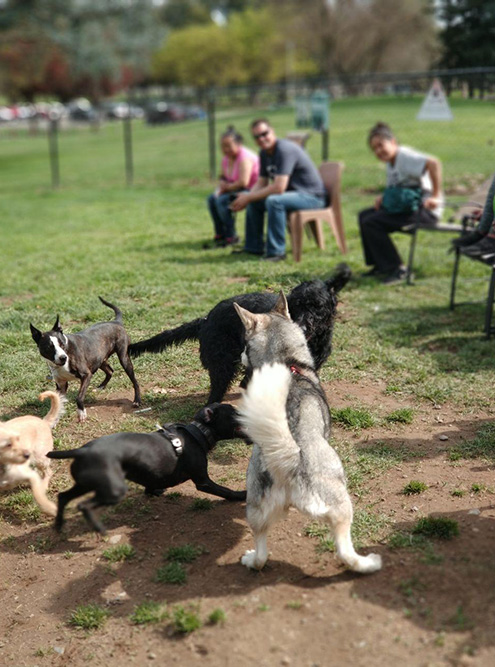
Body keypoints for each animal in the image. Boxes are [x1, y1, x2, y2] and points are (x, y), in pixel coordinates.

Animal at [48, 400, 246, 536]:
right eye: (234, 413)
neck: (197, 433)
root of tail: (82, 450)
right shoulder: (203, 481)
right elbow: (226, 491)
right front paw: (241, 495)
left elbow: (151, 484)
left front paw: (154, 491)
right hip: (113, 490)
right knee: (84, 505)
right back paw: (98, 528)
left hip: (84, 484)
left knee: (63, 497)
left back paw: (59, 525)